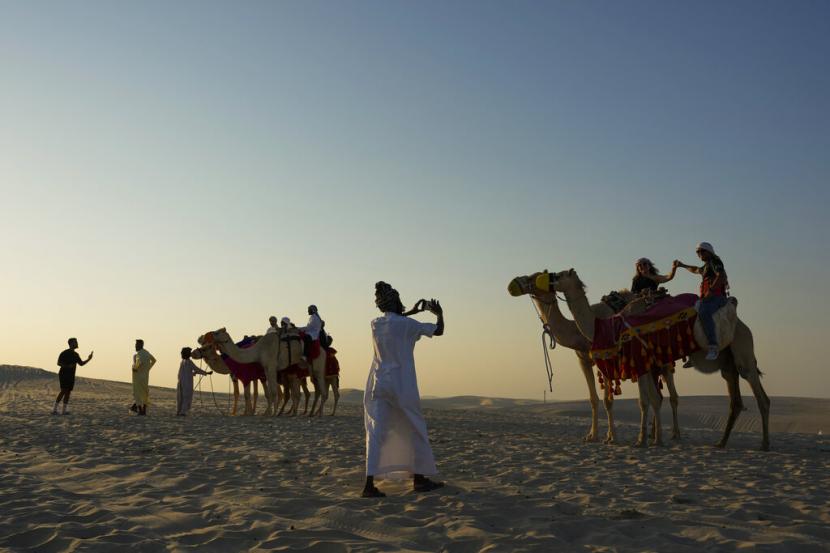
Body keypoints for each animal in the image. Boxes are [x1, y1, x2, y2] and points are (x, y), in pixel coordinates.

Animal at [508, 276, 684, 444]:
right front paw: (593, 436)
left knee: (672, 396)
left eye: (534, 277)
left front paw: (612, 437)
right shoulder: (583, 360)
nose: (514, 282)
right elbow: (593, 399)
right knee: (658, 396)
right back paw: (653, 434)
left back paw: (675, 434)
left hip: (663, 359)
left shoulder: (605, 359)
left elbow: (608, 400)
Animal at [540, 270, 772, 450]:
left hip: (742, 352)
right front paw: (639, 438)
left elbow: (638, 400)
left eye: (559, 275)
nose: (546, 279)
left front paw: (632, 440)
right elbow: (640, 399)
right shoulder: (629, 362)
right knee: (734, 401)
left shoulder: (626, 361)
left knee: (760, 396)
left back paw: (763, 444)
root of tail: (743, 324)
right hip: (726, 363)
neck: (605, 325)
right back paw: (719, 443)